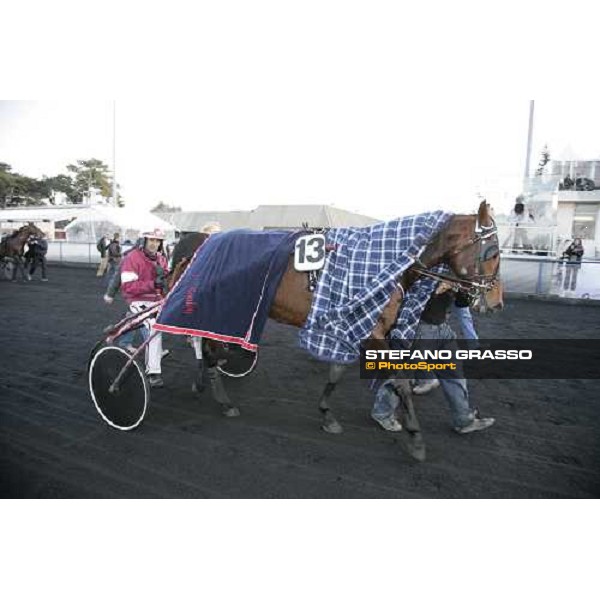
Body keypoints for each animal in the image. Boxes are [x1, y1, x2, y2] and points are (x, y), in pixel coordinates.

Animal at [164, 202, 502, 460]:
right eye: (494, 252)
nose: (494, 301)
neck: (385, 263)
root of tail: (203, 243)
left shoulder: (353, 326)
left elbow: (338, 372)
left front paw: (327, 414)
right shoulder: (372, 331)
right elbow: (401, 382)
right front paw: (416, 439)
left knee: (207, 346)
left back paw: (204, 383)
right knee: (209, 348)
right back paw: (224, 400)